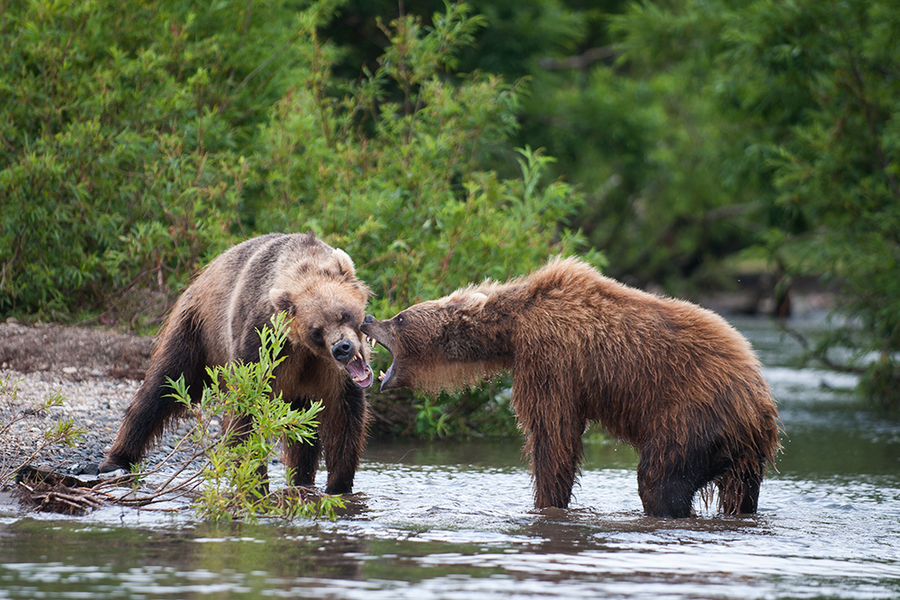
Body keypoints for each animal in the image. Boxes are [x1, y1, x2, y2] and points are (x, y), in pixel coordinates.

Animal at [100, 232, 374, 494]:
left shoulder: (329, 372)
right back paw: (116, 460)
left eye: (343, 314)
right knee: (164, 386)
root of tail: (205, 272)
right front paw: (255, 482)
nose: (341, 348)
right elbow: (245, 411)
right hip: (197, 331)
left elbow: (343, 416)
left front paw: (339, 485)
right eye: (316, 331)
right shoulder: (261, 342)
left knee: (302, 425)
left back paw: (301, 481)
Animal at [360, 256, 780, 516]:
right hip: (743, 455)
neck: (511, 328)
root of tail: (760, 400)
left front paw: (546, 502)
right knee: (740, 493)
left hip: (693, 416)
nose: (368, 318)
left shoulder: (551, 359)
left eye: (400, 318)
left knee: (661, 479)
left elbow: (552, 435)